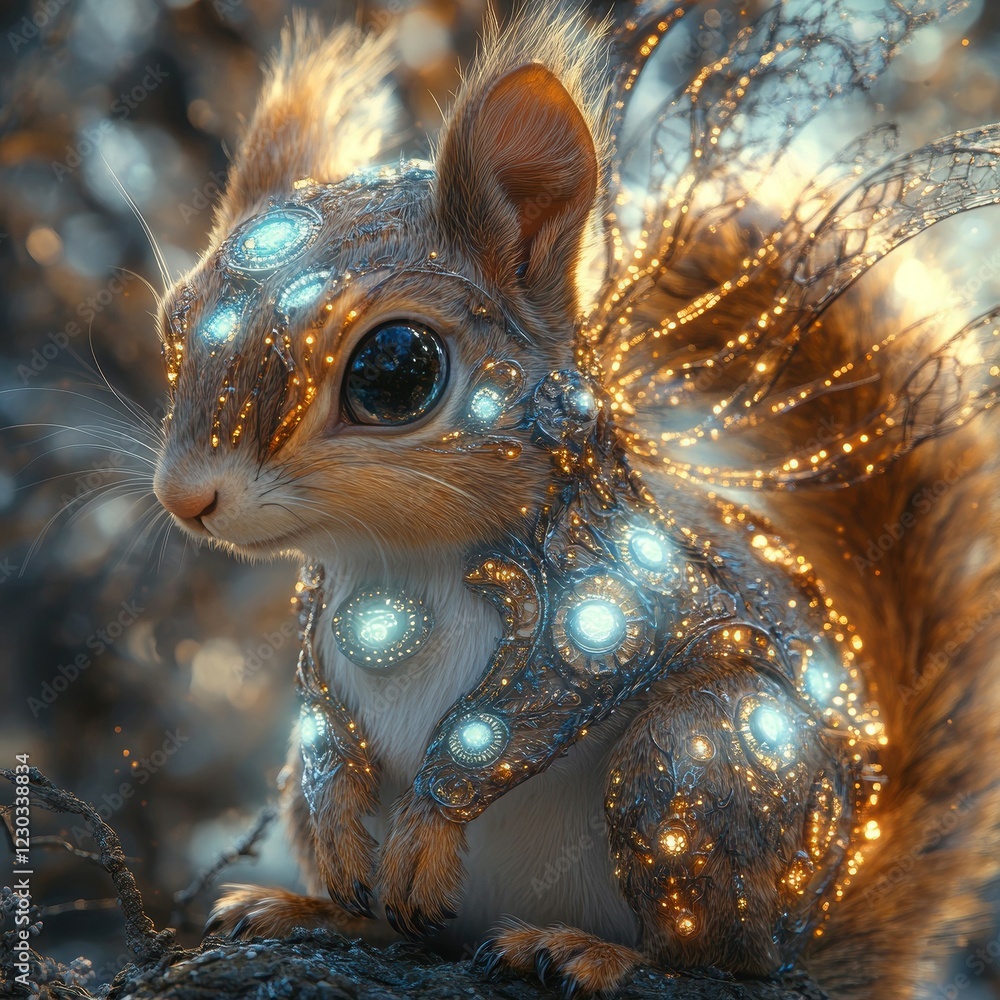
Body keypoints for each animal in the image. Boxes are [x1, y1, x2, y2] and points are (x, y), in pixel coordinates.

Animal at [150, 2, 1000, 997]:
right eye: (174, 324)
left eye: (394, 371)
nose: (185, 498)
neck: (389, 565)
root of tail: (811, 935)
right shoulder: (317, 624)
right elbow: (324, 720)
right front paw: (337, 831)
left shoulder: (612, 596)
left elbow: (532, 705)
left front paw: (429, 828)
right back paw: (317, 907)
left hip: (701, 762)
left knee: (714, 953)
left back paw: (585, 949)